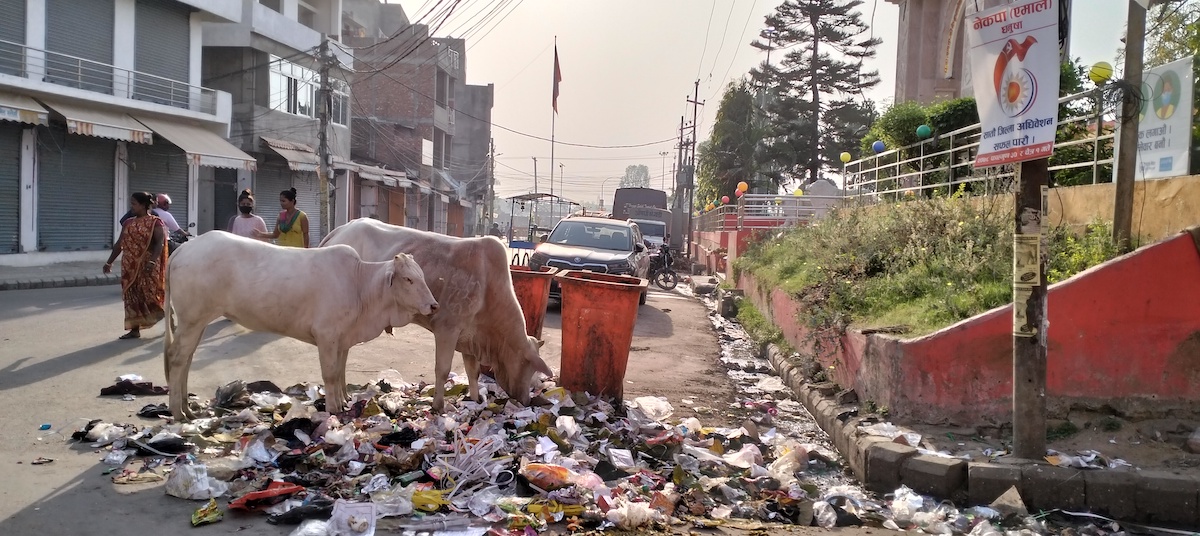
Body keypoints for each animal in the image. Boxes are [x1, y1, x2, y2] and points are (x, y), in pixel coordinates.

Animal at [162, 230, 439, 419]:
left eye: (422, 277)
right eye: (408, 279)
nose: (434, 305)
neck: (360, 285)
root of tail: (183, 249)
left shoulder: (341, 339)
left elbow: (340, 372)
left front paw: (343, 401)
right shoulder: (327, 336)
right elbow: (330, 374)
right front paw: (334, 408)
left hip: (195, 323)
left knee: (186, 360)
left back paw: (186, 407)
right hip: (192, 320)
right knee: (177, 359)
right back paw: (178, 412)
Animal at [324, 218, 556, 412]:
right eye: (529, 367)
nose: (526, 401)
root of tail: (343, 228)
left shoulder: (470, 337)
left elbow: (473, 372)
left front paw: (475, 399)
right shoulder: (447, 329)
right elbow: (442, 370)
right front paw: (438, 405)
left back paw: (344, 396)